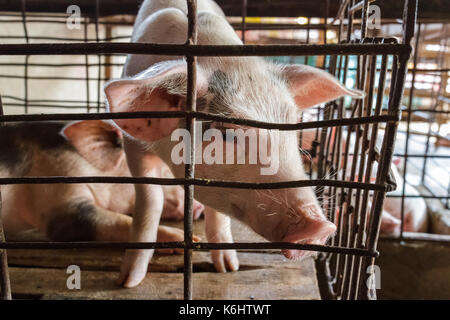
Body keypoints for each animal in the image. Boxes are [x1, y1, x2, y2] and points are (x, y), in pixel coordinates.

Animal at [103, 0, 364, 286]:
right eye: (227, 133)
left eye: (292, 123)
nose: (320, 227)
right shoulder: (134, 147)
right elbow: (150, 202)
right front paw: (128, 281)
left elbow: (218, 213)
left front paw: (228, 268)